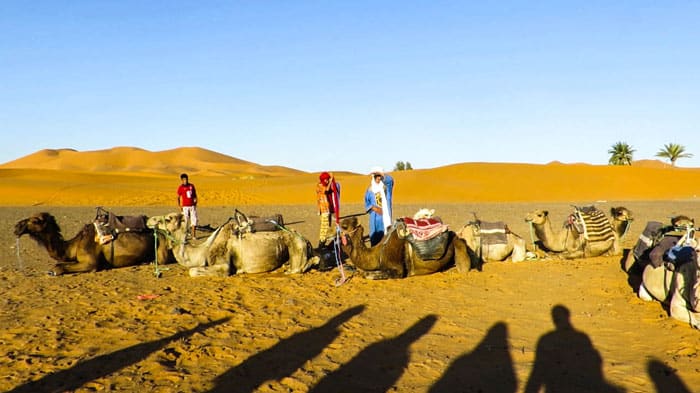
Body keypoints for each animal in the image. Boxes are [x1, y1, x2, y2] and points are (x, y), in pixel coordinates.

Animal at [14, 213, 170, 274]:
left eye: (35, 220)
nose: (17, 227)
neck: (74, 245)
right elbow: (59, 264)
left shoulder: (90, 264)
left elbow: (59, 267)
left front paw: (53, 271)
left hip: (161, 247)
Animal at [146, 210, 318, 278]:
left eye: (168, 218)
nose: (149, 220)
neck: (203, 250)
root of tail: (306, 240)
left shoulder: (224, 265)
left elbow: (192, 271)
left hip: (297, 247)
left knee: (304, 265)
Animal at [340, 214, 470, 278]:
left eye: (344, 226)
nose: (355, 218)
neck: (378, 253)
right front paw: (350, 268)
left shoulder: (397, 269)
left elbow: (367, 275)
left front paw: (361, 273)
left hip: (458, 242)